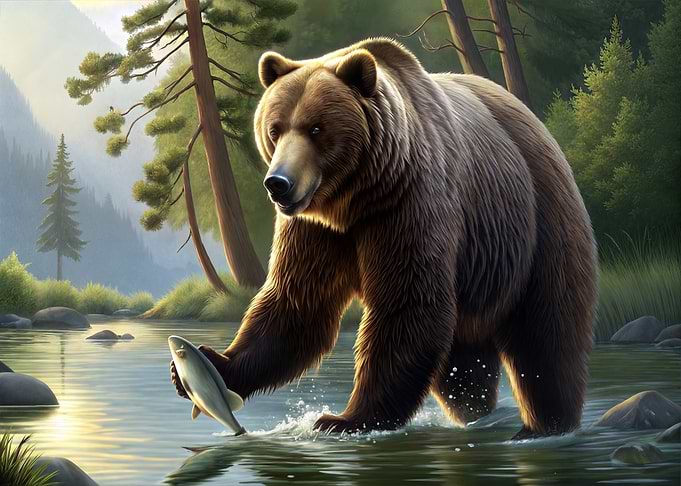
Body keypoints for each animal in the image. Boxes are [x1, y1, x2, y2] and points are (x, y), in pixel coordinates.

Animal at [171, 38, 597, 439]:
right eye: (274, 128)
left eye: (315, 128)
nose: (279, 183)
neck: (354, 198)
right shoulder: (315, 230)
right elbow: (296, 304)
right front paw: (210, 365)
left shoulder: (409, 205)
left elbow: (406, 305)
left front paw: (344, 418)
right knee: (464, 368)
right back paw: (478, 414)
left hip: (537, 223)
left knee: (547, 335)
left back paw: (544, 424)